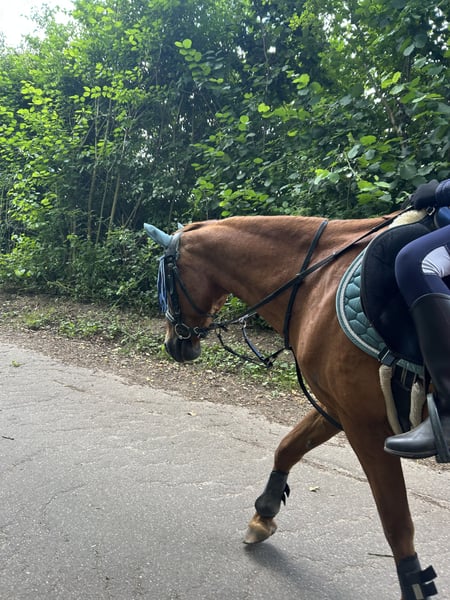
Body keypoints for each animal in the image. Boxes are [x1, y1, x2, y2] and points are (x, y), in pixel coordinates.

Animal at [145, 214, 439, 600]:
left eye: (166, 281)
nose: (173, 344)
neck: (316, 283)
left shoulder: (365, 426)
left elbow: (396, 523)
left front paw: (414, 583)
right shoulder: (336, 408)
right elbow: (288, 447)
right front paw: (263, 515)